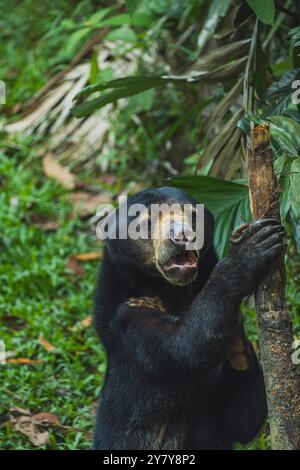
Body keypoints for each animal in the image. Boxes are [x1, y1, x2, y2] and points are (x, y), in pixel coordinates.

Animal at [92, 185, 284, 450]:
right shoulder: (126, 323)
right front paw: (253, 248)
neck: (174, 292)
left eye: (193, 215)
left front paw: (238, 346)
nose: (182, 235)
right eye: (146, 222)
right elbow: (184, 347)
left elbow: (241, 419)